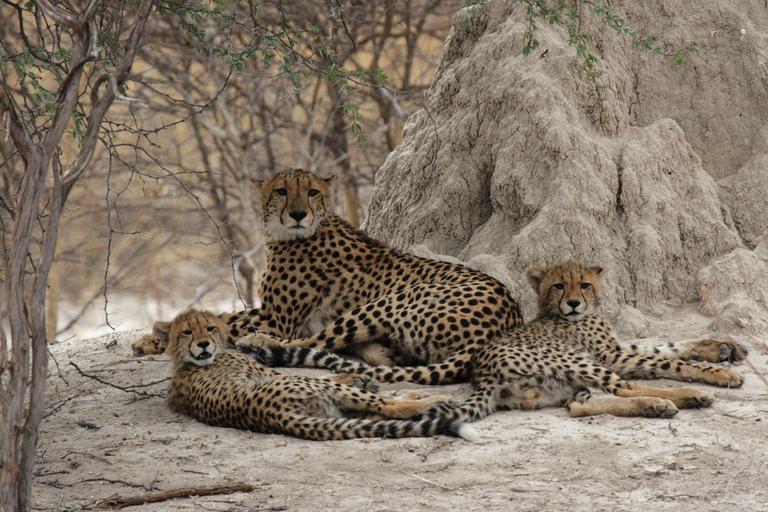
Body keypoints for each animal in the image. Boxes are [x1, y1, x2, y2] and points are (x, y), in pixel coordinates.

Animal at [161, 309, 480, 441]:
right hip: (313, 391)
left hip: (332, 410)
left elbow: (333, 376)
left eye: (209, 328)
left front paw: (362, 378)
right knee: (391, 407)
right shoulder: (272, 373)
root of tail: (276, 416)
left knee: (375, 414)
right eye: (187, 332)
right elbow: (331, 378)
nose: (203, 345)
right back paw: (433, 400)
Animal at [242, 261, 745, 420]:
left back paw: (661, 404)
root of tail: (483, 372)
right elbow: (666, 361)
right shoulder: (611, 355)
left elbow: (666, 349)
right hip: (579, 365)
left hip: (573, 380)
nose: (574, 304)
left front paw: (722, 348)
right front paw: (717, 373)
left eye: (583, 284)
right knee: (621, 390)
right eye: (559, 286)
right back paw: (677, 399)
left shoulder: (615, 349)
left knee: (583, 406)